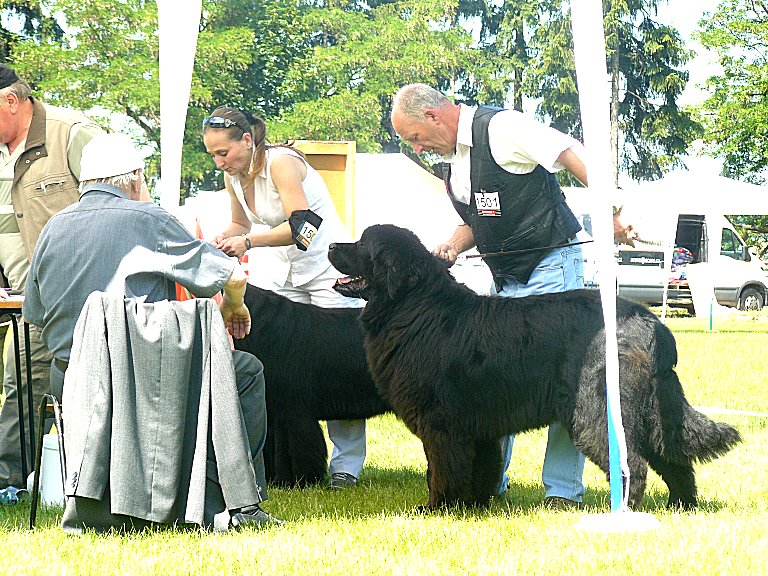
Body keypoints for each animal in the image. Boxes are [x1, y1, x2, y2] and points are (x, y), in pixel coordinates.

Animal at [328, 224, 740, 508]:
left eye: (363, 245)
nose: (331, 244)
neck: (413, 307)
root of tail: (652, 323)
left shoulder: (441, 423)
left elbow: (442, 471)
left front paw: (436, 509)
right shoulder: (477, 425)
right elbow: (481, 467)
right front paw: (475, 508)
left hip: (597, 410)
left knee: (633, 467)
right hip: (653, 410)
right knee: (673, 457)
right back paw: (681, 507)